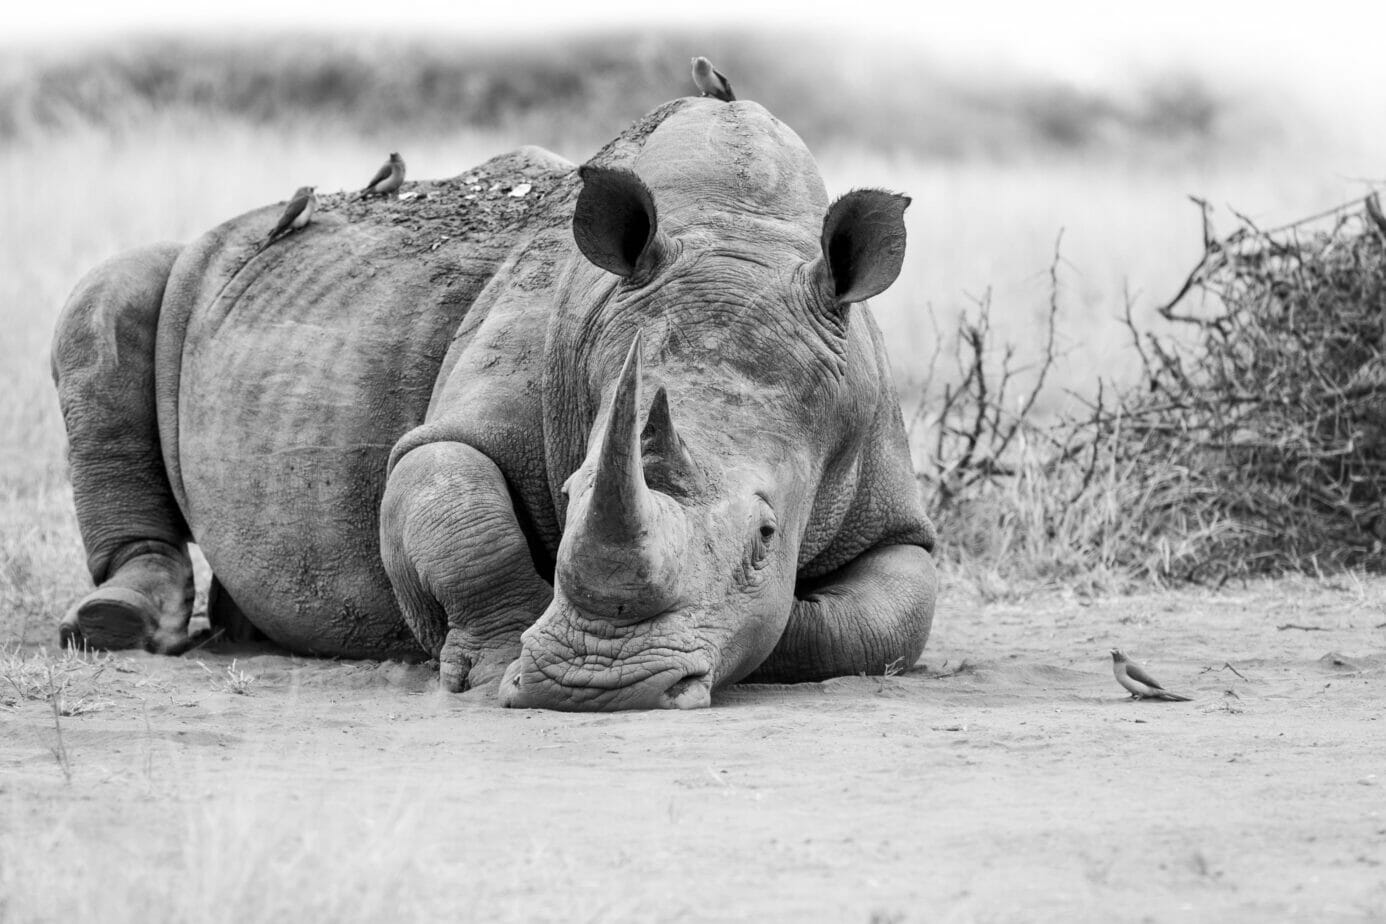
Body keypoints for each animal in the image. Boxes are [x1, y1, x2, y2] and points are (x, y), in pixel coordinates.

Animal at [51, 97, 938, 710]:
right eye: (573, 493)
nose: (600, 684)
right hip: (191, 262)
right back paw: (114, 626)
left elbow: (887, 617)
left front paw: (763, 627)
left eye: (765, 536)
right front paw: (501, 668)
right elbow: (459, 508)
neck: (738, 231)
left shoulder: (891, 506)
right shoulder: (470, 416)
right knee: (106, 301)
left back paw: (240, 625)